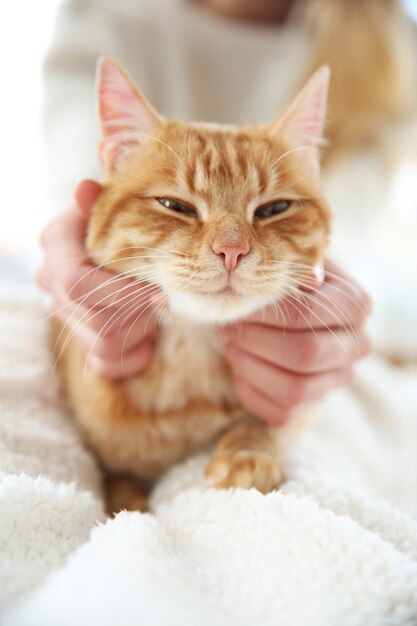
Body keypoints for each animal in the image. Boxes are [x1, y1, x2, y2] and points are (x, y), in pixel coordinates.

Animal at [55, 58, 330, 510]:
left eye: (274, 209)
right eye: (175, 206)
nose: (232, 250)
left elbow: (267, 422)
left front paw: (246, 453)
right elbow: (119, 488)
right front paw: (130, 504)